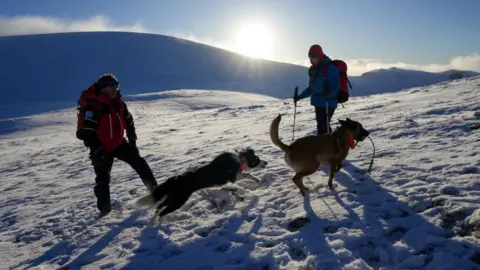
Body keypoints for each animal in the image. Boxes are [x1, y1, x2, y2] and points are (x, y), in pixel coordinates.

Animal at [135, 149, 268, 218]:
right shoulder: (232, 177)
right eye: (257, 160)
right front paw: (245, 189)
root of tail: (173, 179)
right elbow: (245, 176)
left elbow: (247, 176)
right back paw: (160, 222)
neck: (240, 160)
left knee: (159, 207)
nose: (266, 163)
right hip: (179, 200)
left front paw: (256, 180)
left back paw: (154, 220)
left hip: (173, 197)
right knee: (163, 211)